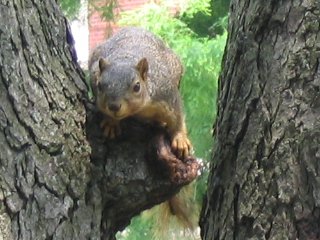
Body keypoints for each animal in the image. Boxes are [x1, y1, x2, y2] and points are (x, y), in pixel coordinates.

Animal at [89, 27, 191, 158]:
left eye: (137, 86)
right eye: (99, 86)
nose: (113, 106)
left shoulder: (167, 94)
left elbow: (177, 117)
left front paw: (180, 139)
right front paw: (111, 122)